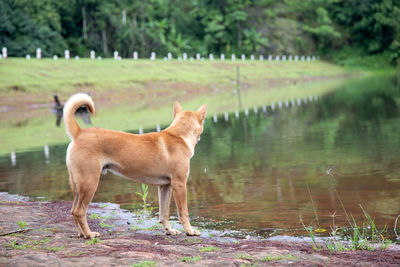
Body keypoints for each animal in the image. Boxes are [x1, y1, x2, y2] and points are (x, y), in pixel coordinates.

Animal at [63, 93, 206, 239]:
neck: (179, 135)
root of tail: (79, 133)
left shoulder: (165, 186)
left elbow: (164, 214)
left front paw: (169, 231)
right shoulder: (179, 184)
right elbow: (183, 212)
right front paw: (190, 231)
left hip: (77, 186)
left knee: (73, 211)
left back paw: (81, 234)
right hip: (89, 183)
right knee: (80, 211)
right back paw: (89, 234)